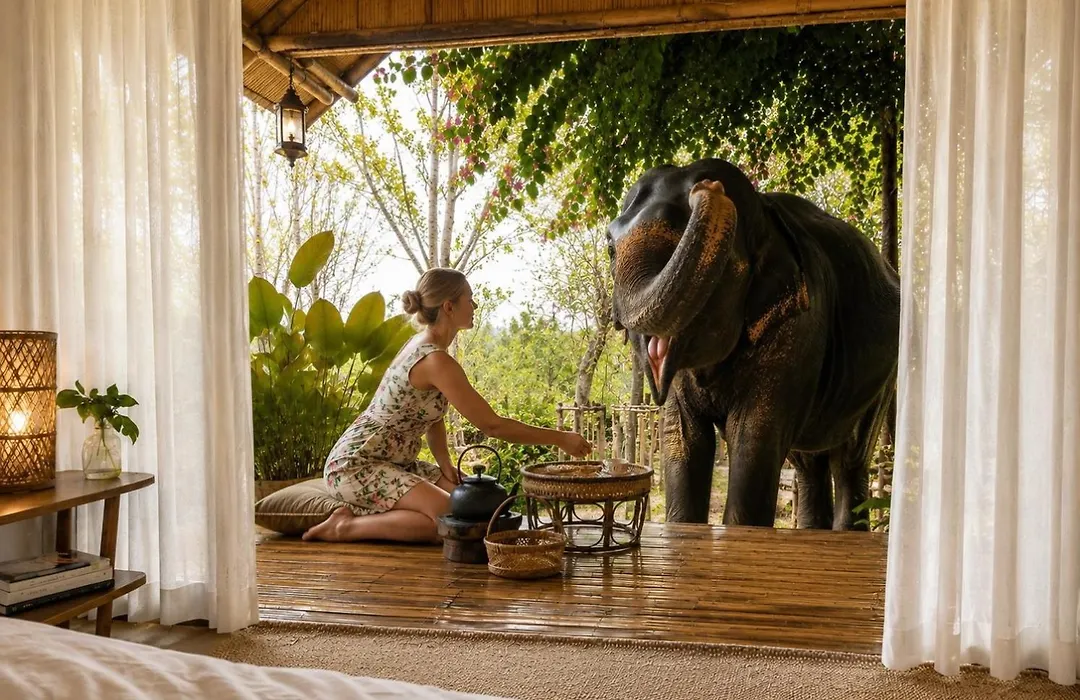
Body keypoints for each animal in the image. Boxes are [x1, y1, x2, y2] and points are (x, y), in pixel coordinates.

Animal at [607, 158, 900, 530]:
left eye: (720, 263)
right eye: (610, 249)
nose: (707, 187)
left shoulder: (799, 326)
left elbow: (754, 439)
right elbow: (682, 438)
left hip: (884, 379)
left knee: (849, 457)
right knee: (809, 462)